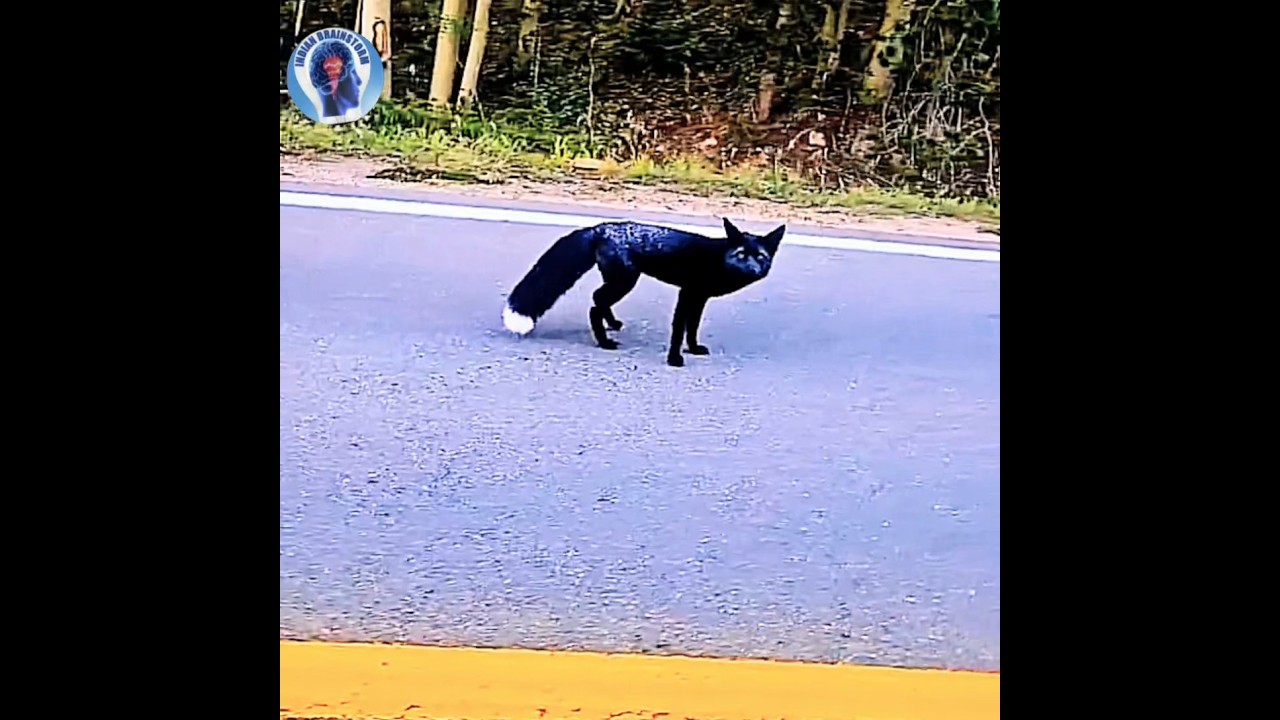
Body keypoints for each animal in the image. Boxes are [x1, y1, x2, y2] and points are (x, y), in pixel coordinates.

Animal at [501, 218, 786, 367]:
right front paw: (674, 358)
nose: (752, 269)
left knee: (597, 299)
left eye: (760, 257)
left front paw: (693, 348)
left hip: (619, 281)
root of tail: (599, 227)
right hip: (625, 282)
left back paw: (612, 325)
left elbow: (692, 327)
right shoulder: (687, 294)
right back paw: (604, 341)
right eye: (741, 255)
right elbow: (679, 329)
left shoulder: (699, 297)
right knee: (594, 304)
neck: (717, 259)